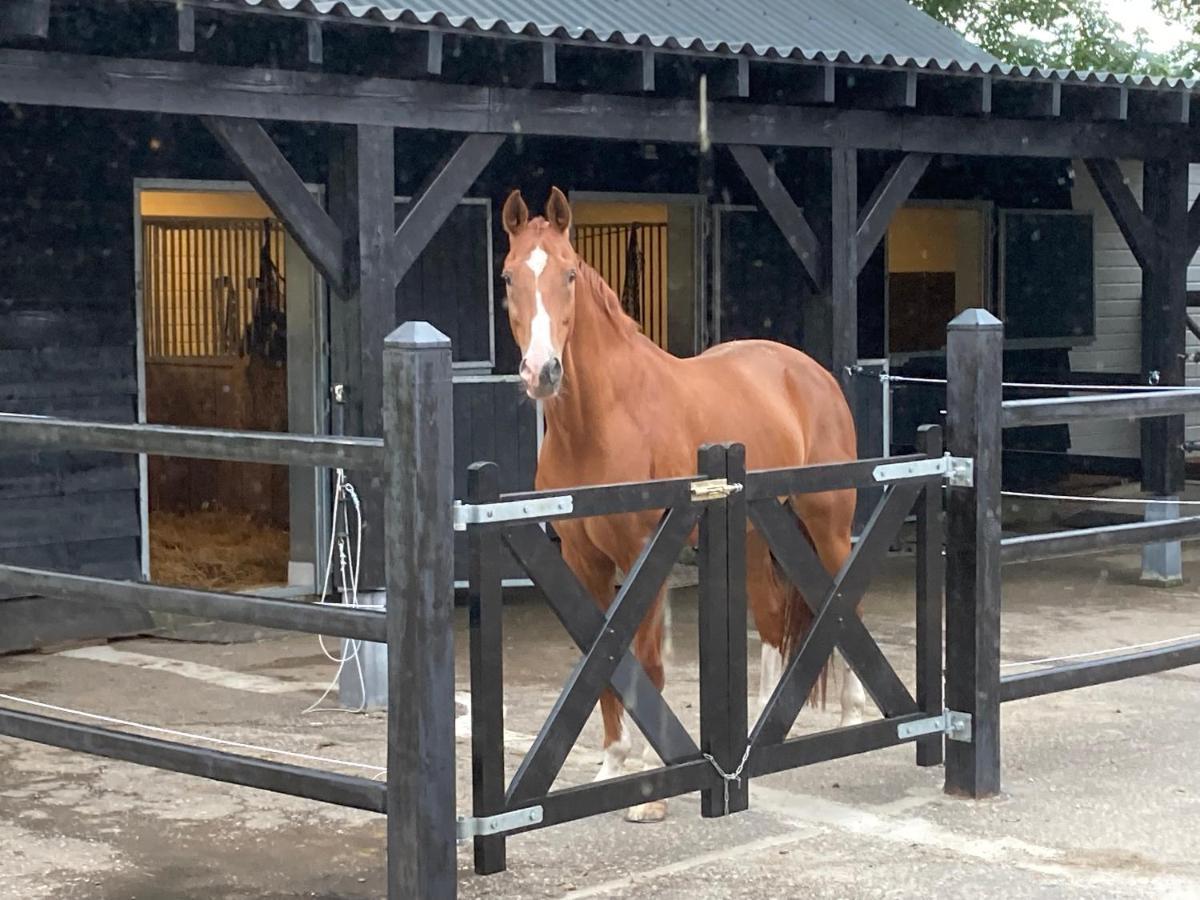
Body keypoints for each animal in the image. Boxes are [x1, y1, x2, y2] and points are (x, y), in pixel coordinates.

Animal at [501, 187, 868, 820]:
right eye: (508, 277)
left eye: (569, 273)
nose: (541, 372)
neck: (602, 421)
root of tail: (811, 372)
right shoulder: (582, 561)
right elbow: (605, 664)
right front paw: (612, 764)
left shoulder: (644, 551)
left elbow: (646, 661)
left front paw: (650, 794)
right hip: (754, 534)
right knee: (773, 620)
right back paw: (760, 737)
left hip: (827, 522)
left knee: (844, 604)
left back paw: (851, 712)